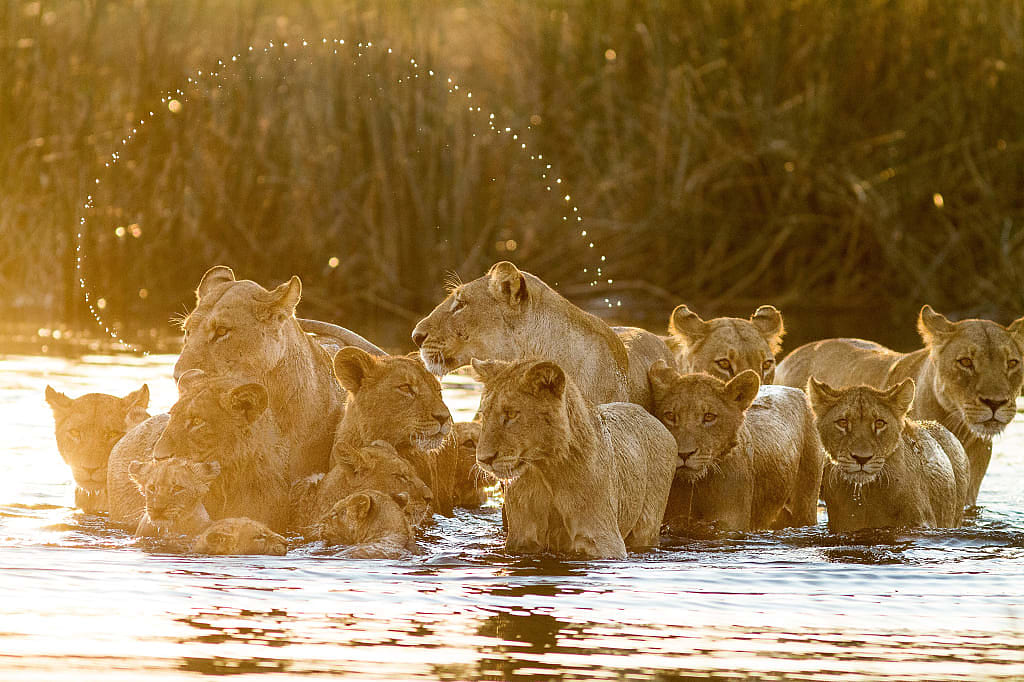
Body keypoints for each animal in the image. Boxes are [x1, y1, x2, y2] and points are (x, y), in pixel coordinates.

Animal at [471, 358, 677, 559]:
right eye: (484, 415)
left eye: (511, 414)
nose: (483, 459)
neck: (546, 472)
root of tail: (649, 414)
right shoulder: (522, 540)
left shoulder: (604, 541)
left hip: (647, 528)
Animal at [647, 361, 824, 534]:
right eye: (670, 415)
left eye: (709, 417)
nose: (684, 453)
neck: (696, 487)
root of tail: (796, 390)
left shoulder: (729, 525)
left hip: (806, 503)